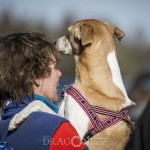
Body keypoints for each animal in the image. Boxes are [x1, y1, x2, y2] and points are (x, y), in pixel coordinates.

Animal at [8, 19, 135, 150]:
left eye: (68, 33)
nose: (54, 42)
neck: (93, 87)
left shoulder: (75, 131)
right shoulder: (62, 116)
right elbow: (37, 102)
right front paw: (17, 118)